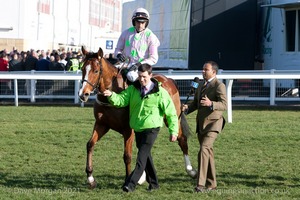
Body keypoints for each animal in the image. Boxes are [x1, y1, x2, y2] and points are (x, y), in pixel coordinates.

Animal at [78, 46, 196, 188]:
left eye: (96, 71)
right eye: (83, 69)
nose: (83, 94)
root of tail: (169, 80)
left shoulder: (128, 130)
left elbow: (127, 155)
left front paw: (128, 180)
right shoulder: (102, 124)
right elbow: (90, 144)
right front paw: (90, 177)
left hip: (172, 118)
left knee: (181, 139)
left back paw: (190, 170)